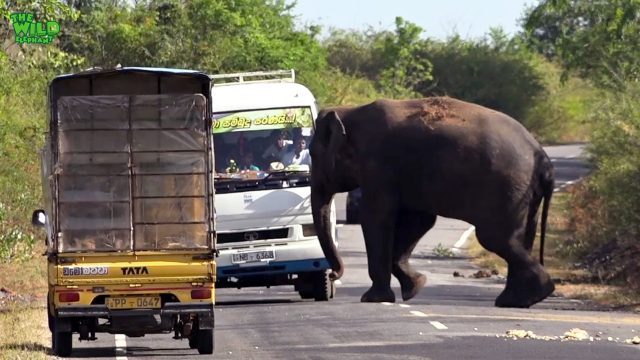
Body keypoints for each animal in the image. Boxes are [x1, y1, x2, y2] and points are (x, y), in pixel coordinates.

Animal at [310, 97, 556, 308]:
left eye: (312, 154)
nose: (333, 274)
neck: (350, 112)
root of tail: (542, 156)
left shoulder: (378, 166)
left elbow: (376, 217)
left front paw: (373, 299)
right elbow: (420, 221)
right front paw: (415, 288)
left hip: (507, 189)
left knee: (494, 237)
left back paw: (536, 292)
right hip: (525, 194)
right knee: (521, 238)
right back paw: (516, 300)